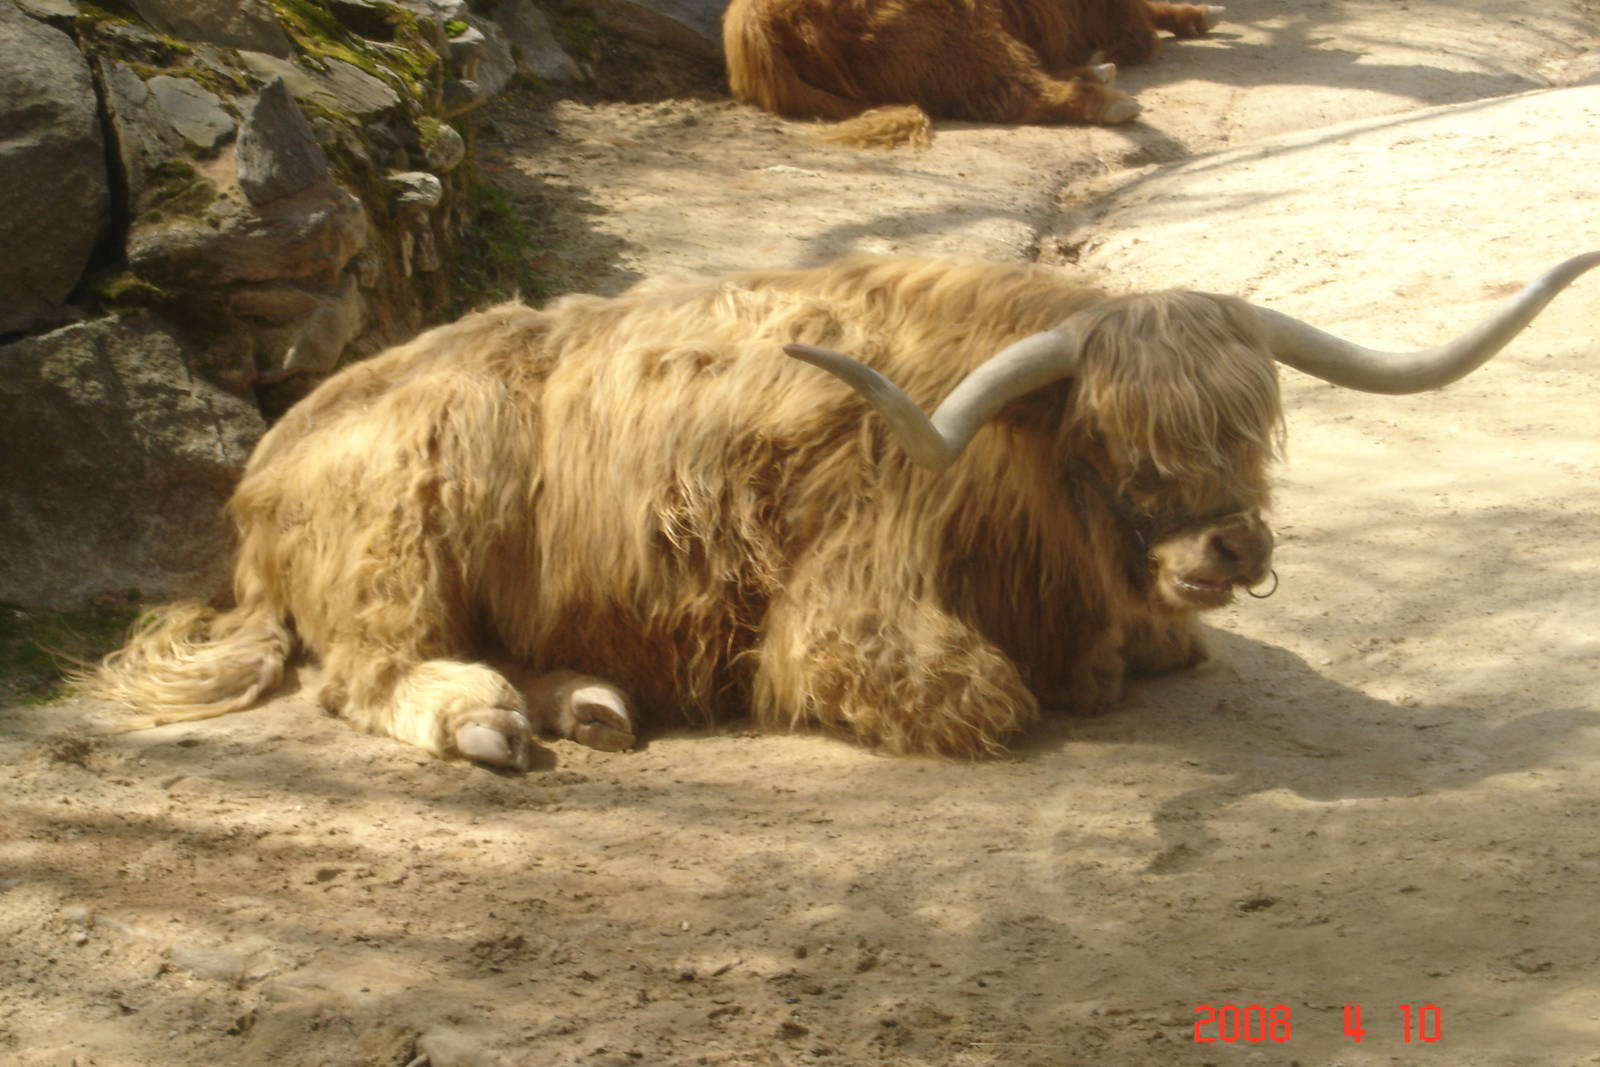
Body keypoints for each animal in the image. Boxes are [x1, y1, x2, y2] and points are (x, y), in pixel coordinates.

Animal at [86, 252, 1600, 769]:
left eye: (1245, 426)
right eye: (1116, 441)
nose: (1228, 546)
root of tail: (265, 468)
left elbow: (1162, 646)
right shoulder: (845, 621)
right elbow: (987, 695)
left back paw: (590, 699)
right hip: (408, 515)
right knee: (366, 667)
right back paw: (491, 719)